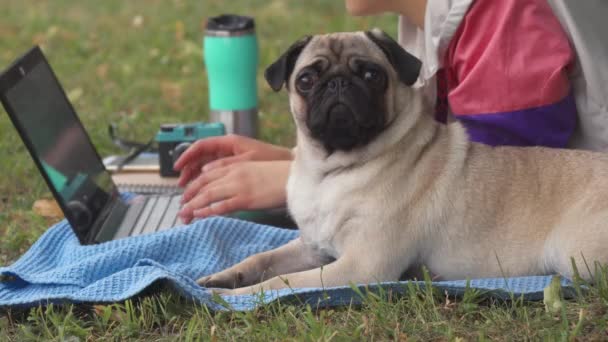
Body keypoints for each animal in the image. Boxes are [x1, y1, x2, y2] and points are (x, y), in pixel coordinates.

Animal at [197, 29, 608, 296]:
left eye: (371, 74)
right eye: (307, 79)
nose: (338, 83)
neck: (331, 170)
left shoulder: (361, 265)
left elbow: (282, 284)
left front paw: (232, 298)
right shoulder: (312, 248)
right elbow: (262, 259)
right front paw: (225, 278)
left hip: (574, 254)